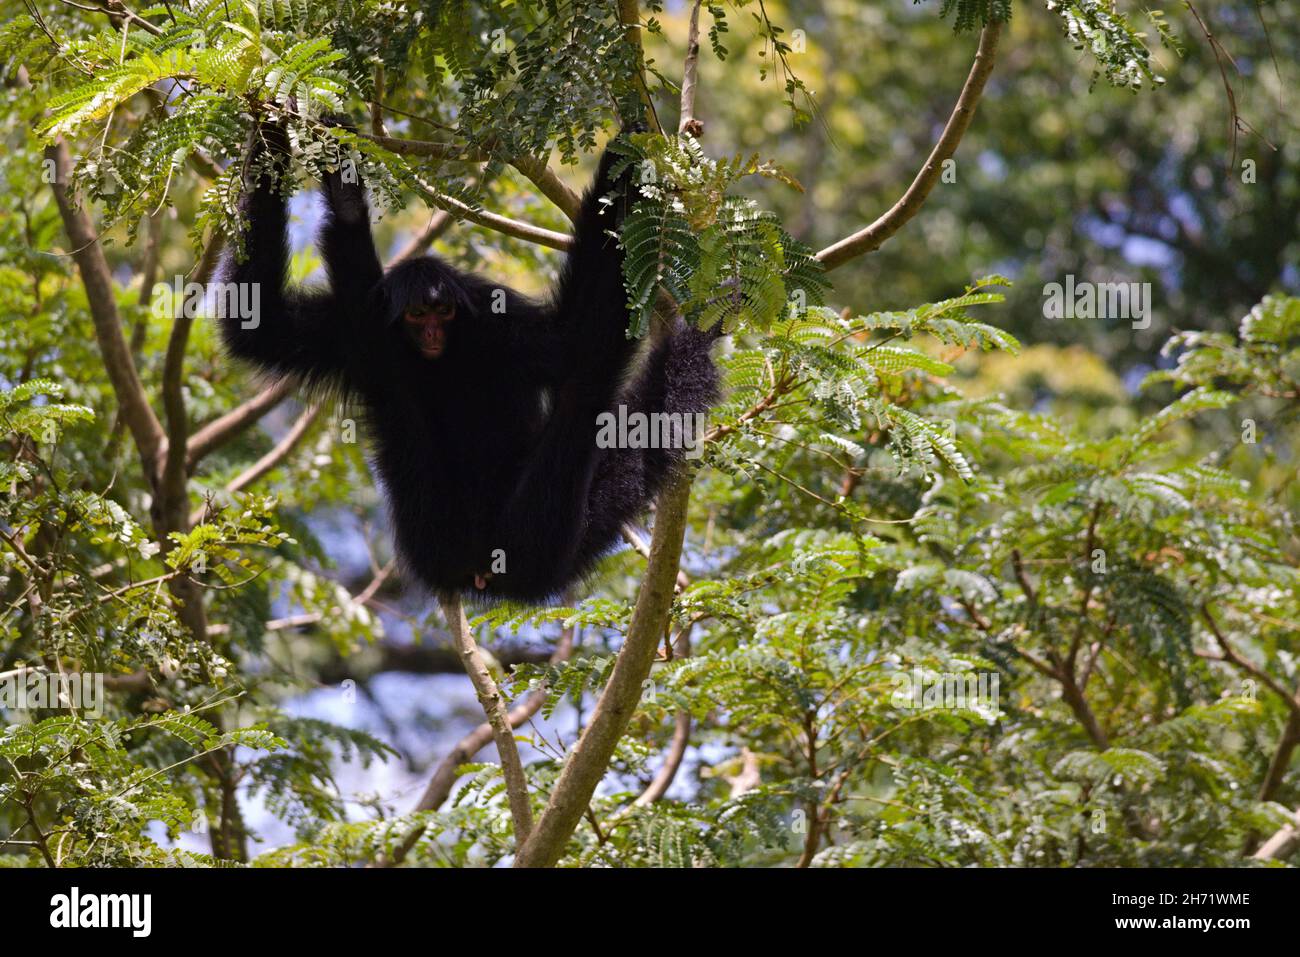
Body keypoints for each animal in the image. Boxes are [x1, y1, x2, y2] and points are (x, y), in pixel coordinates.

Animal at [220, 117, 722, 598]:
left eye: (443, 310)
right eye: (418, 313)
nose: (431, 331)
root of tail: (484, 571)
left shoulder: (503, 324)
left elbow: (575, 338)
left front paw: (624, 150)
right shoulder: (341, 333)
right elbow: (259, 325)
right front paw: (297, 154)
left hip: (536, 532)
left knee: (589, 382)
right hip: (433, 529)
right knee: (393, 382)